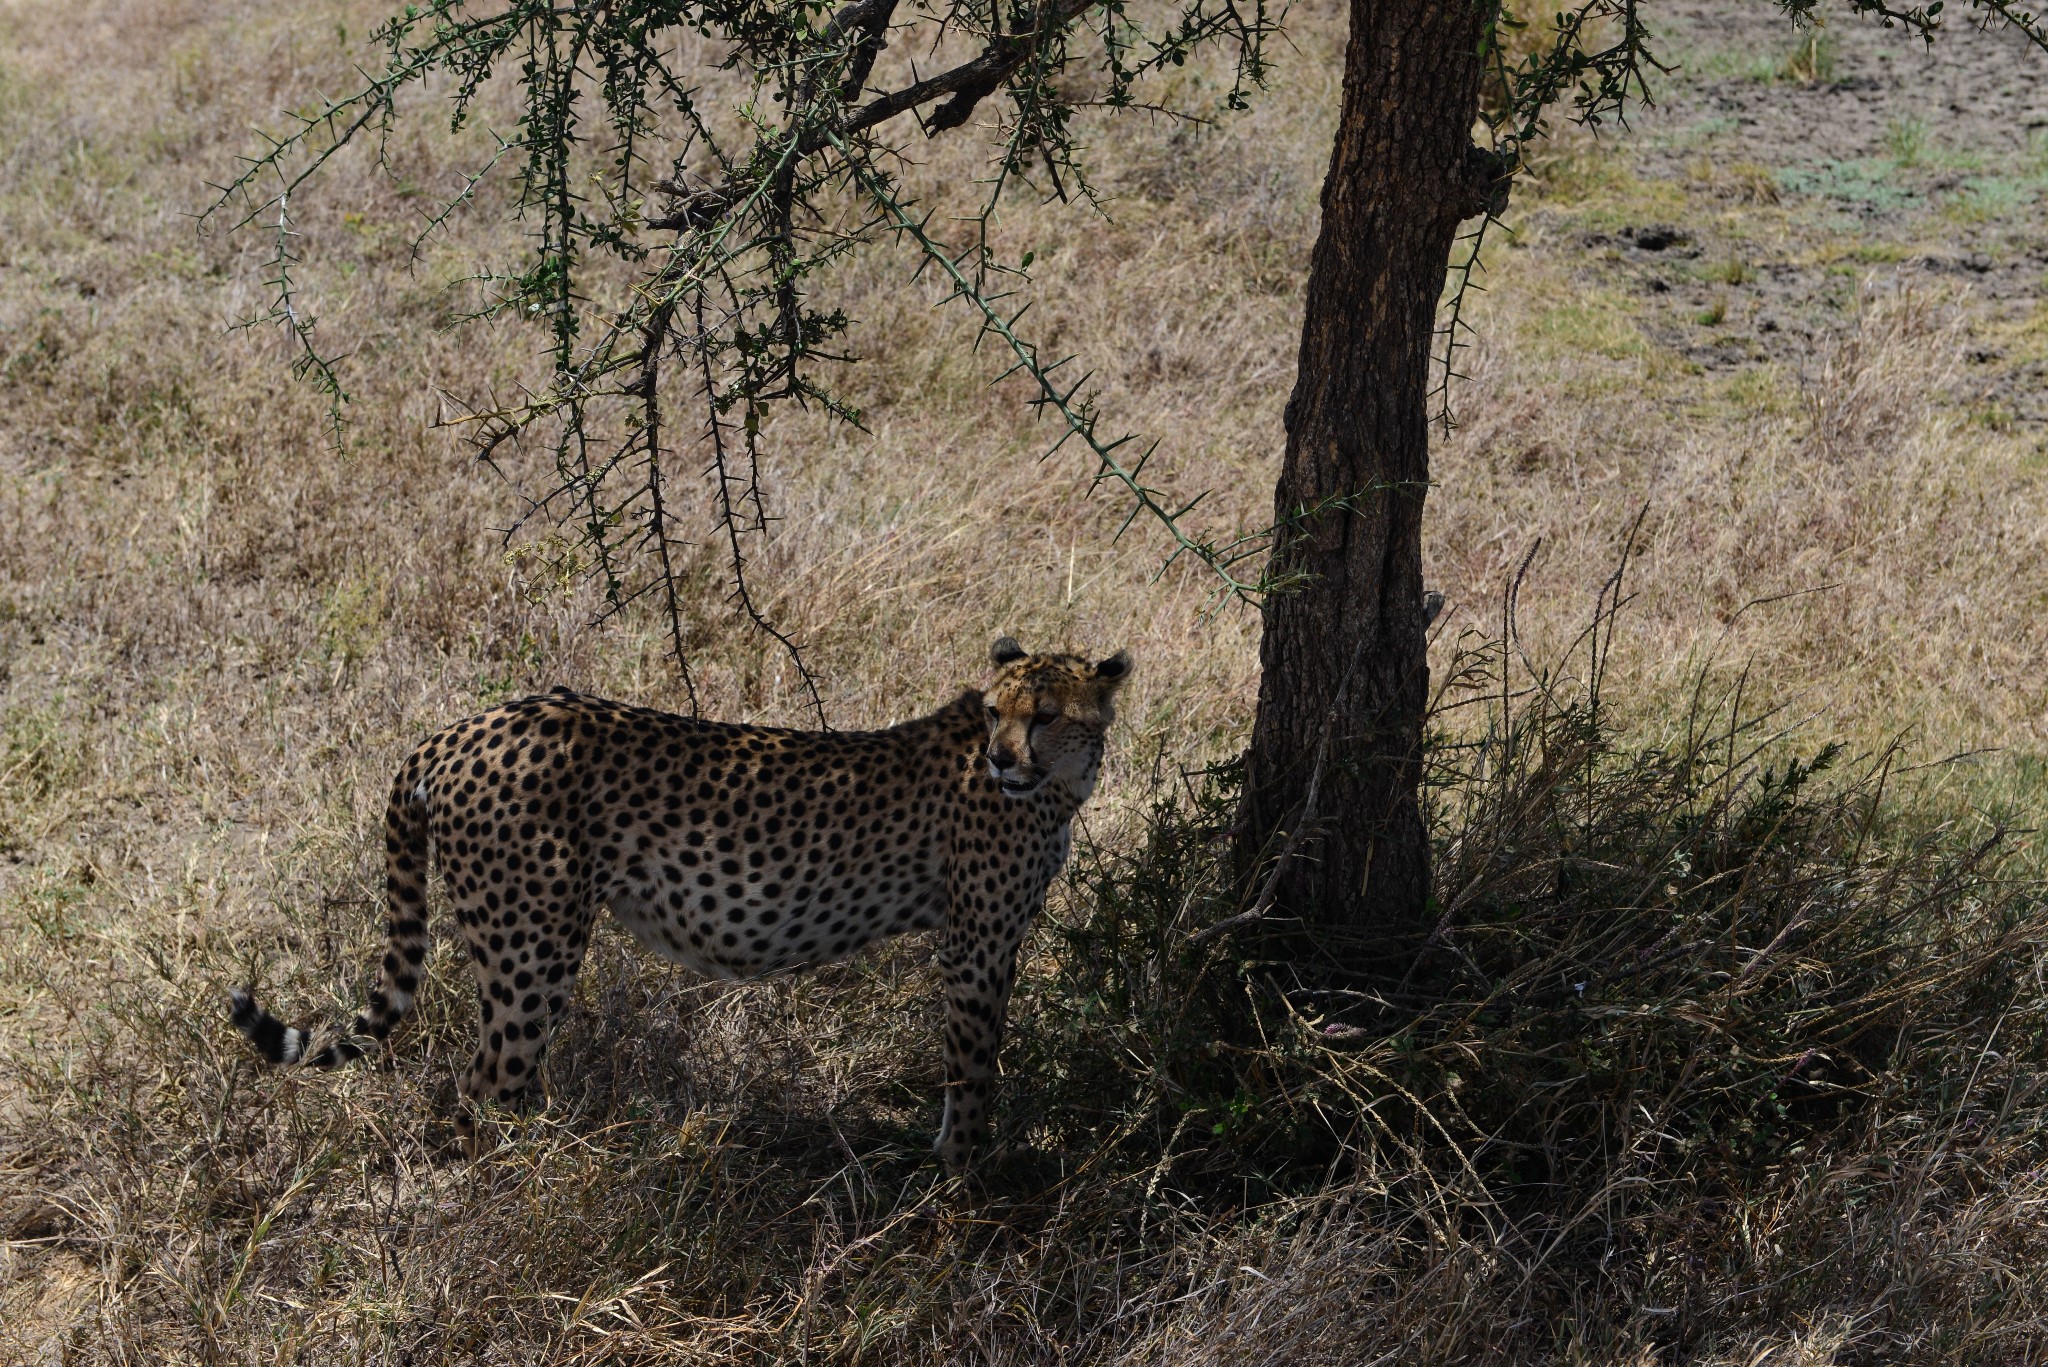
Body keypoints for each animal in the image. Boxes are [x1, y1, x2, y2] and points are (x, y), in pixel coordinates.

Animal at [230, 635, 1130, 1172]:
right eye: (995, 712)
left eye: (1046, 715)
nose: (1001, 759)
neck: (1054, 785)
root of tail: (461, 728)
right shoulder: (978, 946)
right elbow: (974, 1072)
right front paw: (968, 1183)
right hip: (535, 943)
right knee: (489, 1084)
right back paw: (534, 1188)